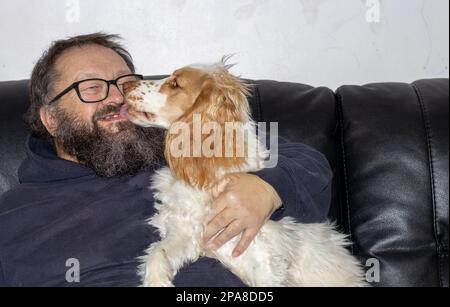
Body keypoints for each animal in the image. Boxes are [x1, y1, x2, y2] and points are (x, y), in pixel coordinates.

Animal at [122, 60, 366, 288]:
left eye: (175, 83)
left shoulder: (265, 265)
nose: (125, 84)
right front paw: (155, 280)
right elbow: (157, 252)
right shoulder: (184, 232)